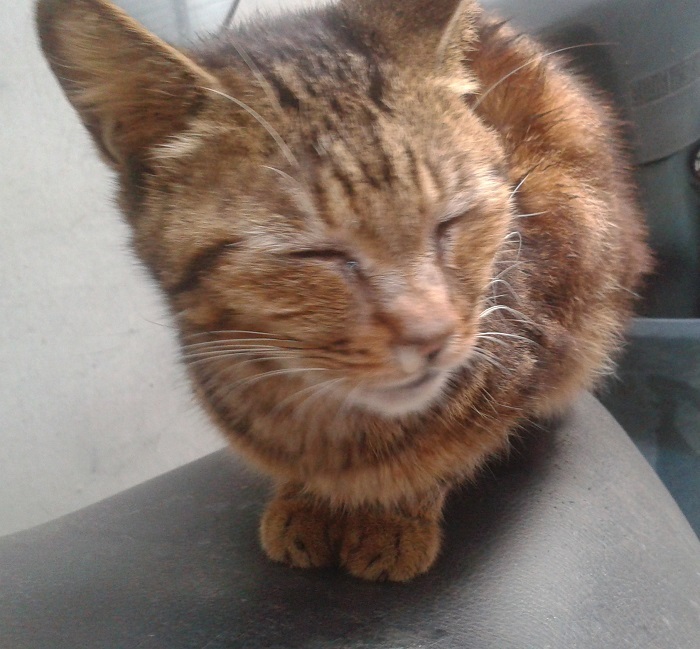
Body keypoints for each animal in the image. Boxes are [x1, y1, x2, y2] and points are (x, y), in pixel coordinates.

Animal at [37, 0, 651, 581]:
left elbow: (446, 453)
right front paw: (306, 499)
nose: (431, 335)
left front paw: (393, 513)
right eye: (316, 254)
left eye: (450, 221)